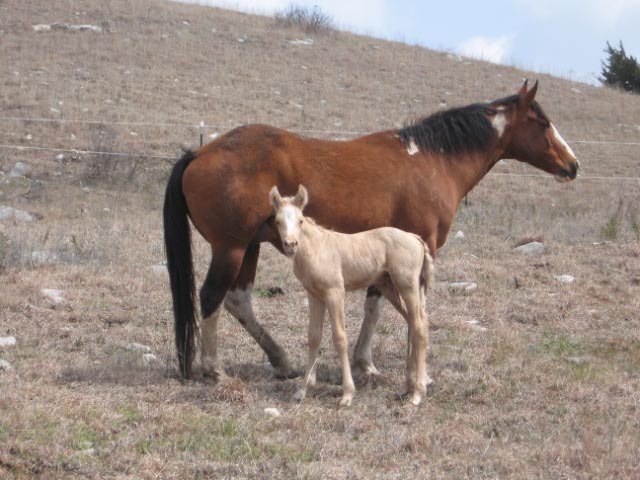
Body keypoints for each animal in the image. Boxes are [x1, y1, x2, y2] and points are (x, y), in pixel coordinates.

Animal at [163, 80, 579, 380]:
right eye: (543, 123)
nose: (573, 164)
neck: (432, 161)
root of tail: (201, 152)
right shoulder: (420, 251)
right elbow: (410, 308)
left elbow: (375, 305)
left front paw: (365, 363)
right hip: (231, 248)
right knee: (212, 297)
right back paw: (215, 369)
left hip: (249, 247)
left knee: (238, 301)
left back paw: (281, 360)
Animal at [269, 185, 434, 406]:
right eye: (278, 221)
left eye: (300, 220)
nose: (290, 244)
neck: (316, 248)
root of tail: (416, 239)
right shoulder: (314, 295)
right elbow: (314, 336)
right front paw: (304, 390)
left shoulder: (335, 293)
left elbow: (340, 337)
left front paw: (347, 393)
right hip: (389, 287)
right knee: (413, 322)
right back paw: (407, 387)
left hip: (407, 285)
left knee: (420, 326)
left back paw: (418, 393)